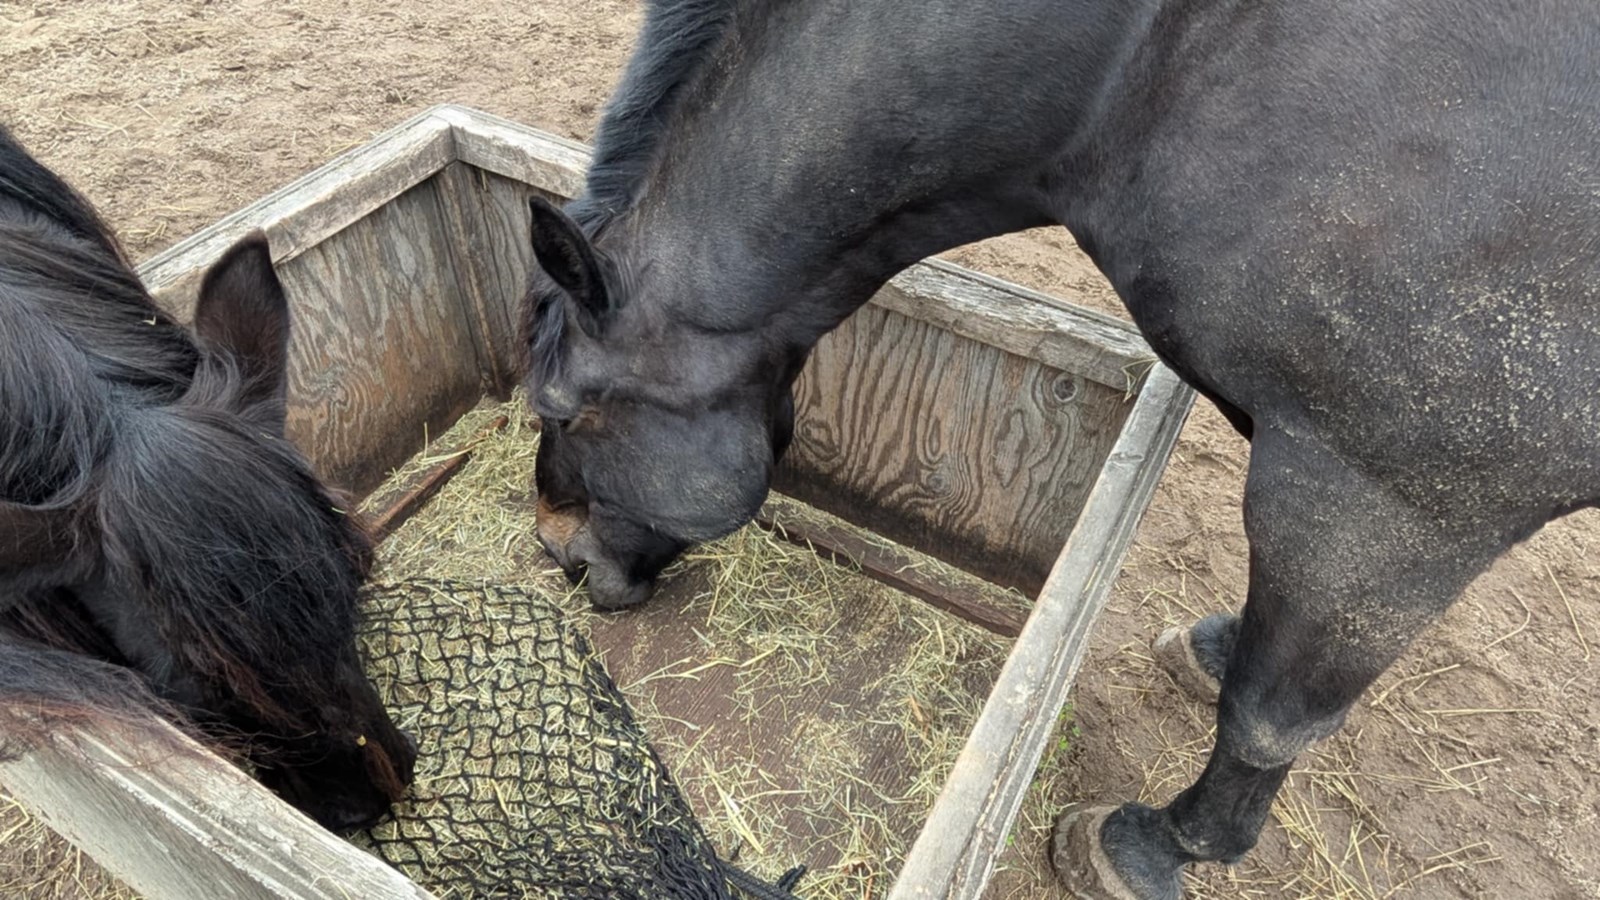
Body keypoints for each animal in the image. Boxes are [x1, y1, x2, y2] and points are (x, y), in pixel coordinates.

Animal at [521, 0, 1600, 894]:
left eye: (565, 410)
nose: (558, 552)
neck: (1141, 74)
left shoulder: (1391, 502)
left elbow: (1270, 715)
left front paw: (1156, 849)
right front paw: (1218, 645)